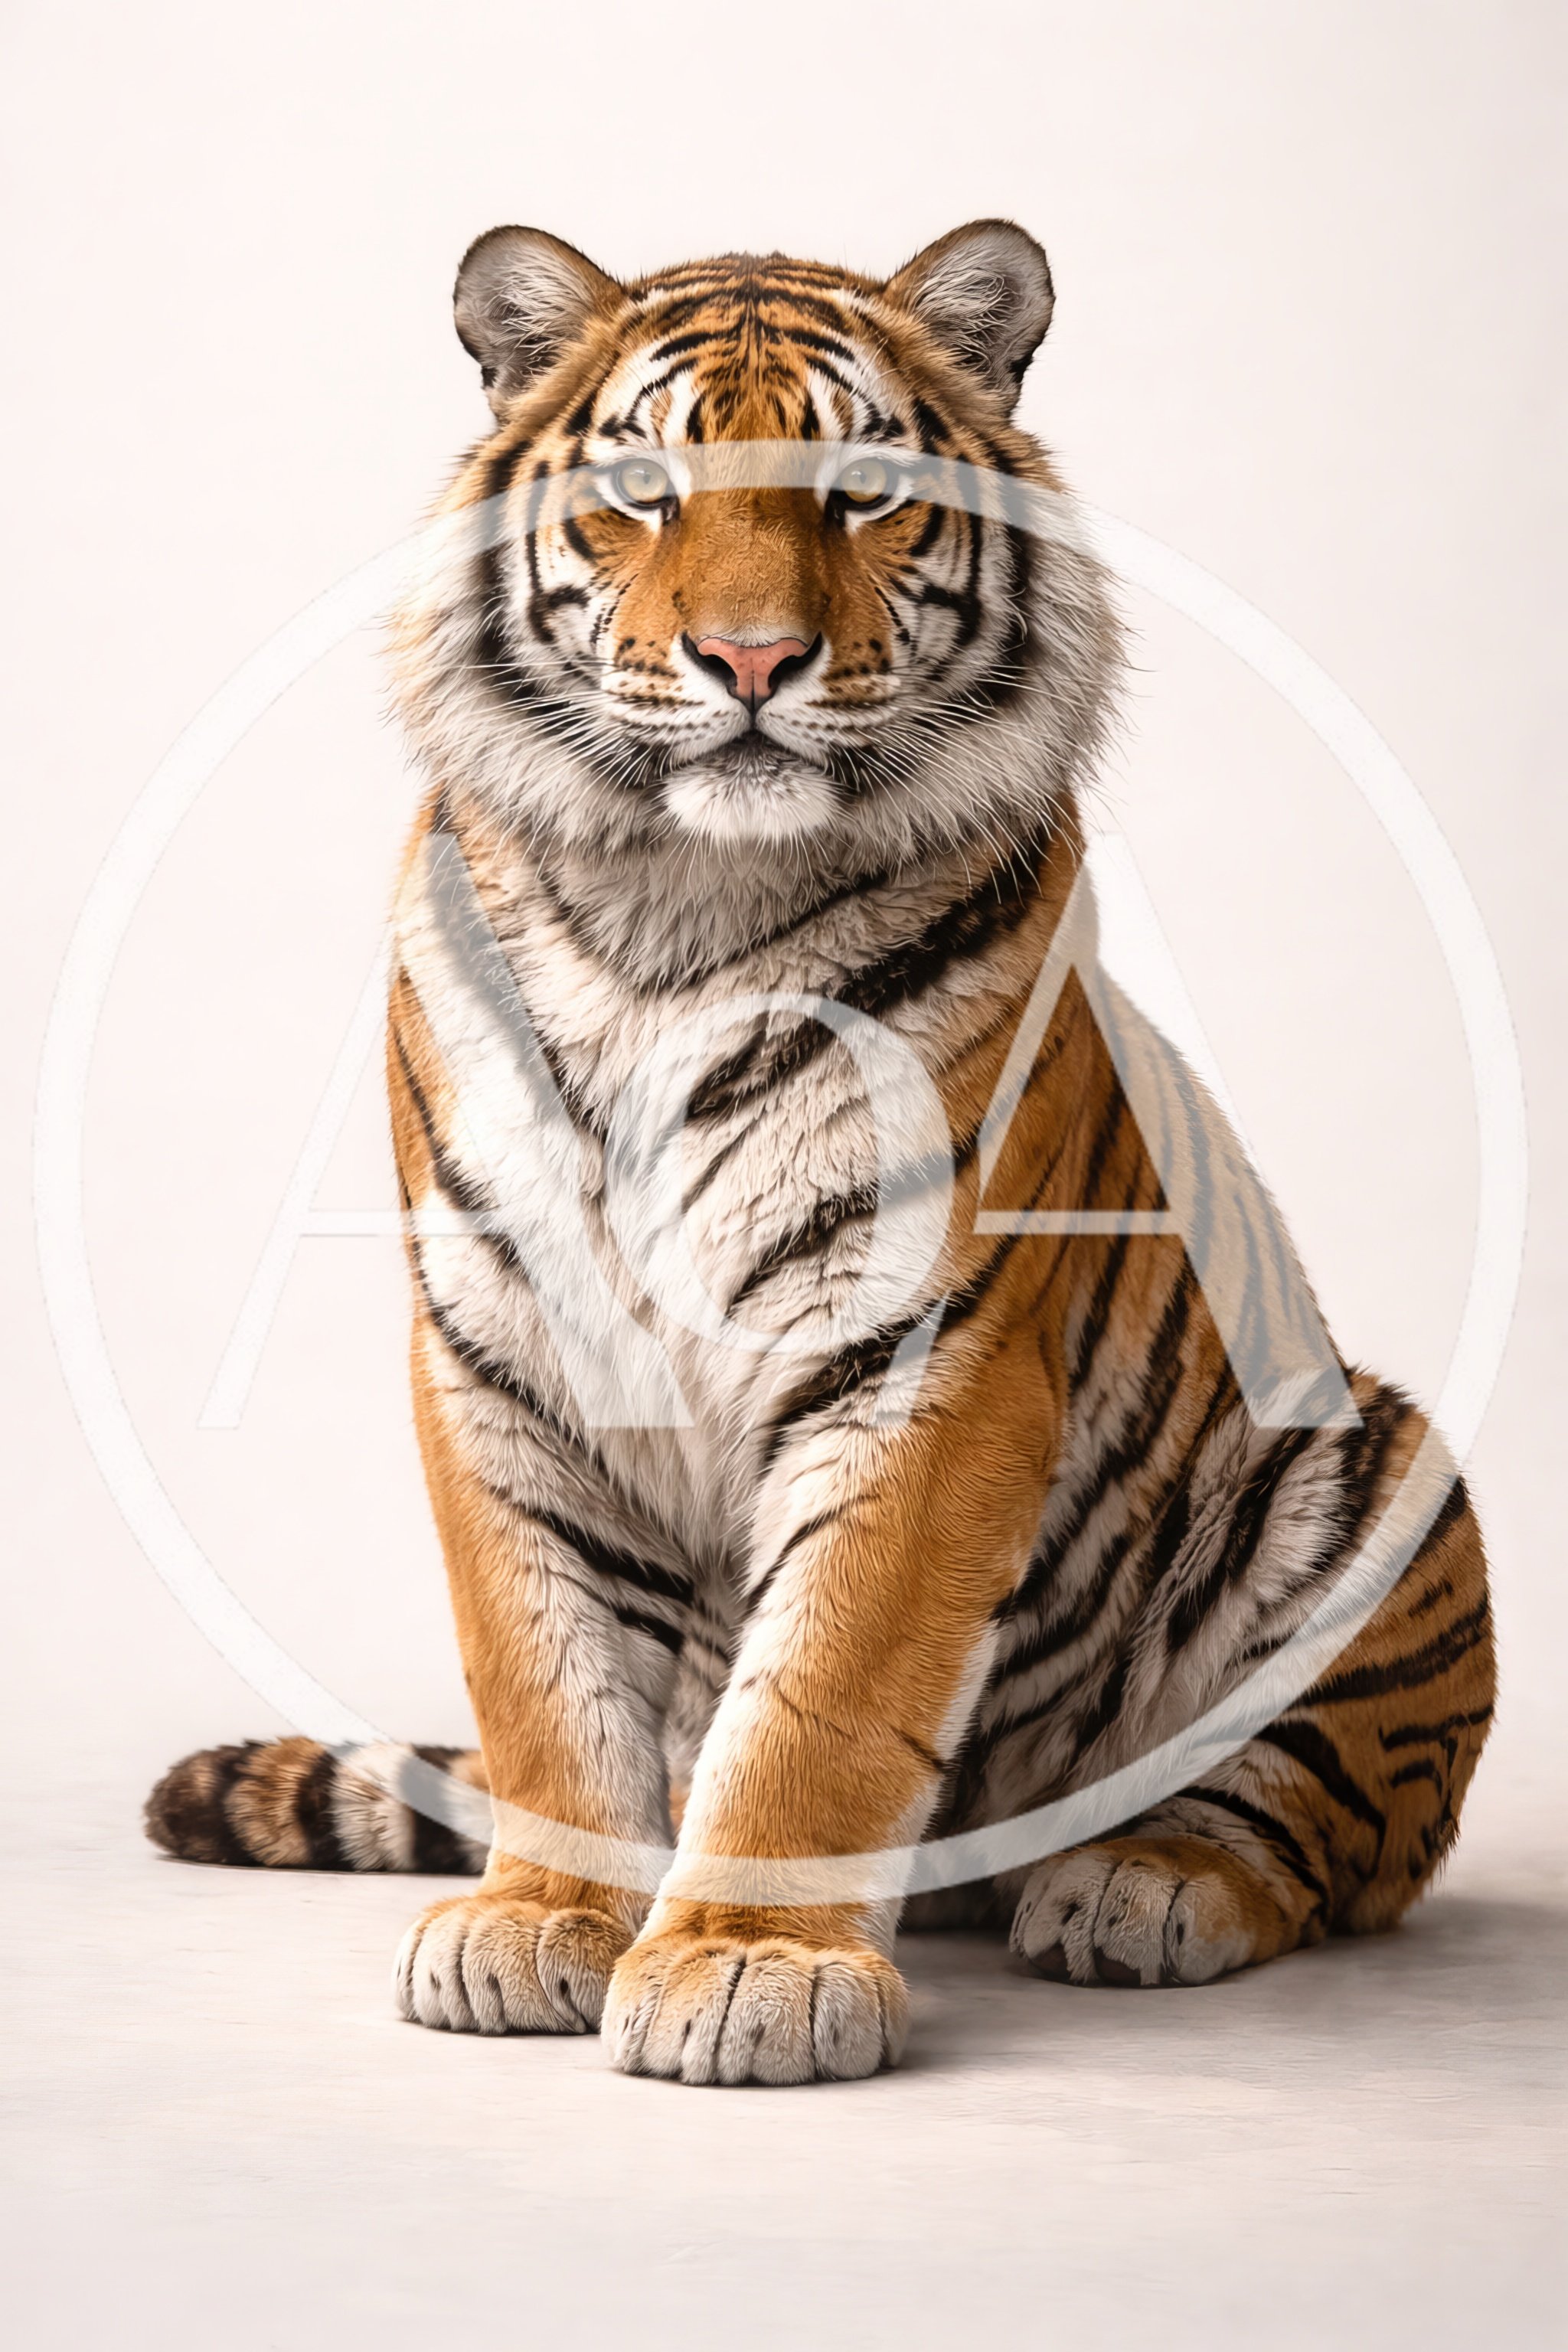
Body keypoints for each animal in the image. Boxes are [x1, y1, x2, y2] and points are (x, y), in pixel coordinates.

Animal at [146, 219, 1494, 2086]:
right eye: (643, 488)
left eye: (863, 492)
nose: (751, 662)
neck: (677, 904)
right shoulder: (503, 1342)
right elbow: (543, 1668)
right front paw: (534, 1923)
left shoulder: (921, 1349)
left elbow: (826, 1695)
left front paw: (747, 1964)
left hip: (1371, 1468)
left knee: (1326, 1824)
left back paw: (1142, 1884)